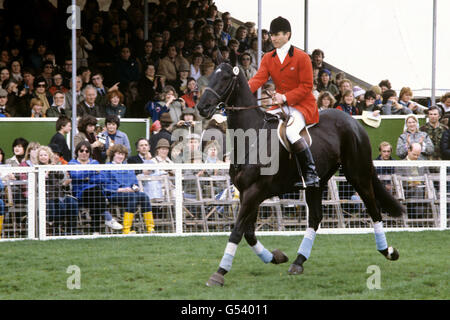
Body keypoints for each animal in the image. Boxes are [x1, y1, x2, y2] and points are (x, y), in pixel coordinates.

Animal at [198, 62, 404, 288]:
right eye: (210, 76)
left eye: (225, 78)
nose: (201, 107)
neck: (251, 137)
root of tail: (354, 122)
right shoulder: (246, 193)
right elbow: (249, 233)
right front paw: (276, 256)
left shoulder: (255, 192)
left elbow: (236, 232)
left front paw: (219, 273)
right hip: (317, 183)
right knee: (315, 218)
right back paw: (298, 261)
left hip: (358, 174)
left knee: (373, 209)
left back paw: (388, 251)